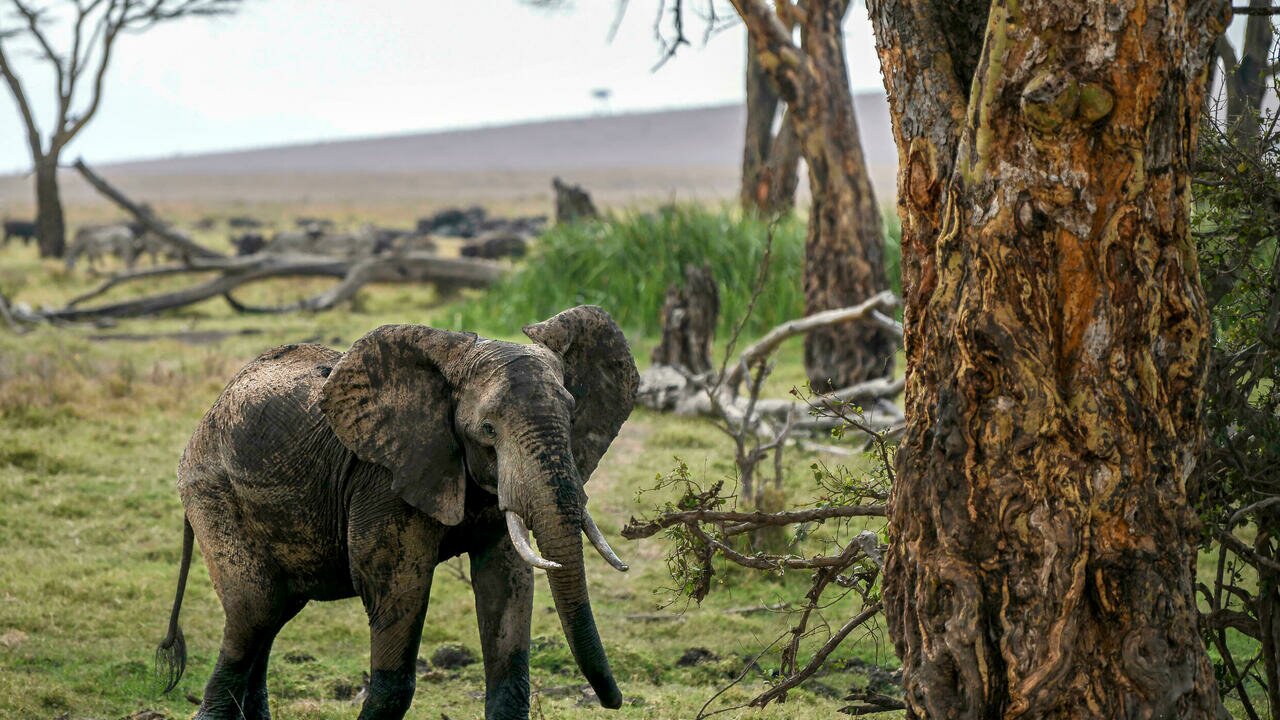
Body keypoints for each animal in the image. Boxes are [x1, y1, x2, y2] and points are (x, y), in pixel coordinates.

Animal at [157, 303, 640, 717]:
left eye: (573, 415)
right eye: (488, 429)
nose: (614, 701)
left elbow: (506, 585)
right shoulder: (384, 480)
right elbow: (397, 591)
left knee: (271, 618)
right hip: (211, 490)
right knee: (254, 611)